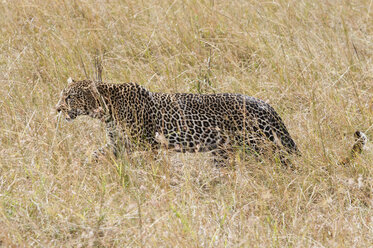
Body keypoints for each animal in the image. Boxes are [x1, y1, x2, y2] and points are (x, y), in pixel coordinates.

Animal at [56, 78, 366, 166]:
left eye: (70, 97)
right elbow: (95, 154)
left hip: (255, 145)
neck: (106, 109)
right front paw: (83, 169)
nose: (57, 109)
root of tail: (267, 106)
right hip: (224, 151)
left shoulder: (144, 144)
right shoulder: (118, 144)